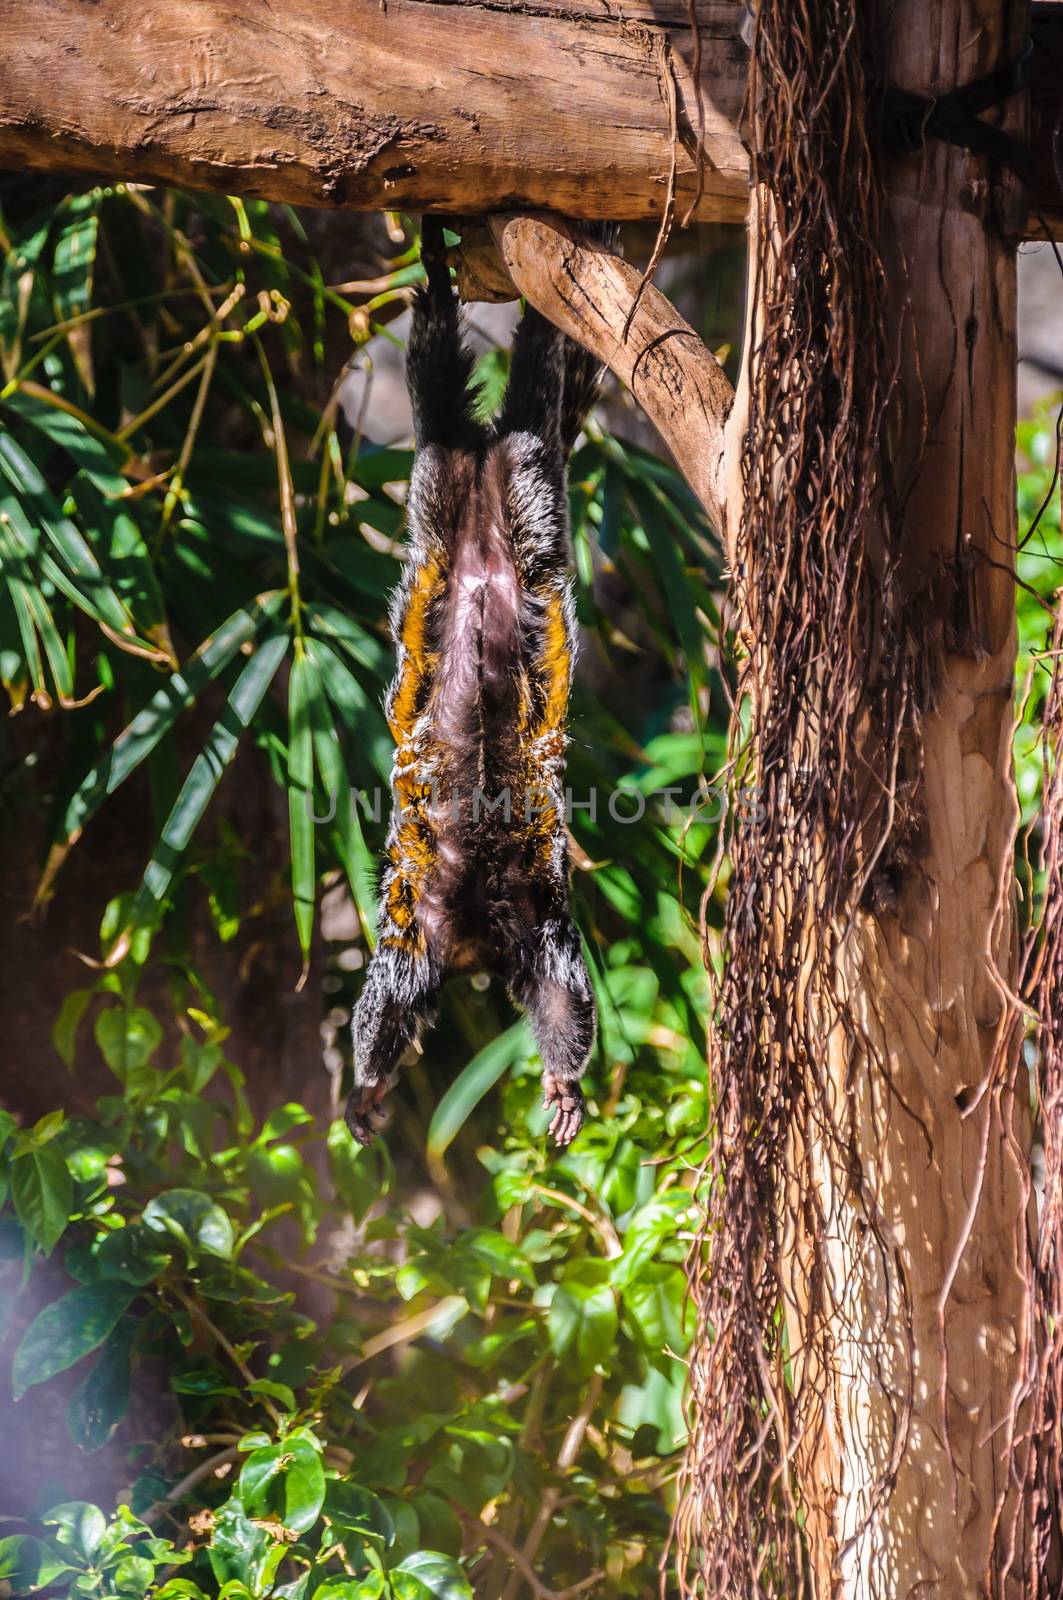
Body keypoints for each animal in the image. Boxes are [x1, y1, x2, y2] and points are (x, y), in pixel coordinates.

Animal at [344, 219, 601, 1152]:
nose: (476, 972)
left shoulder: (529, 920)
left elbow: (561, 993)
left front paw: (563, 1081)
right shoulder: (423, 930)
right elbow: (388, 1002)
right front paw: (367, 1088)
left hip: (517, 506)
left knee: (515, 418)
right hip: (450, 495)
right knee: (454, 411)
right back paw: (440, 284)